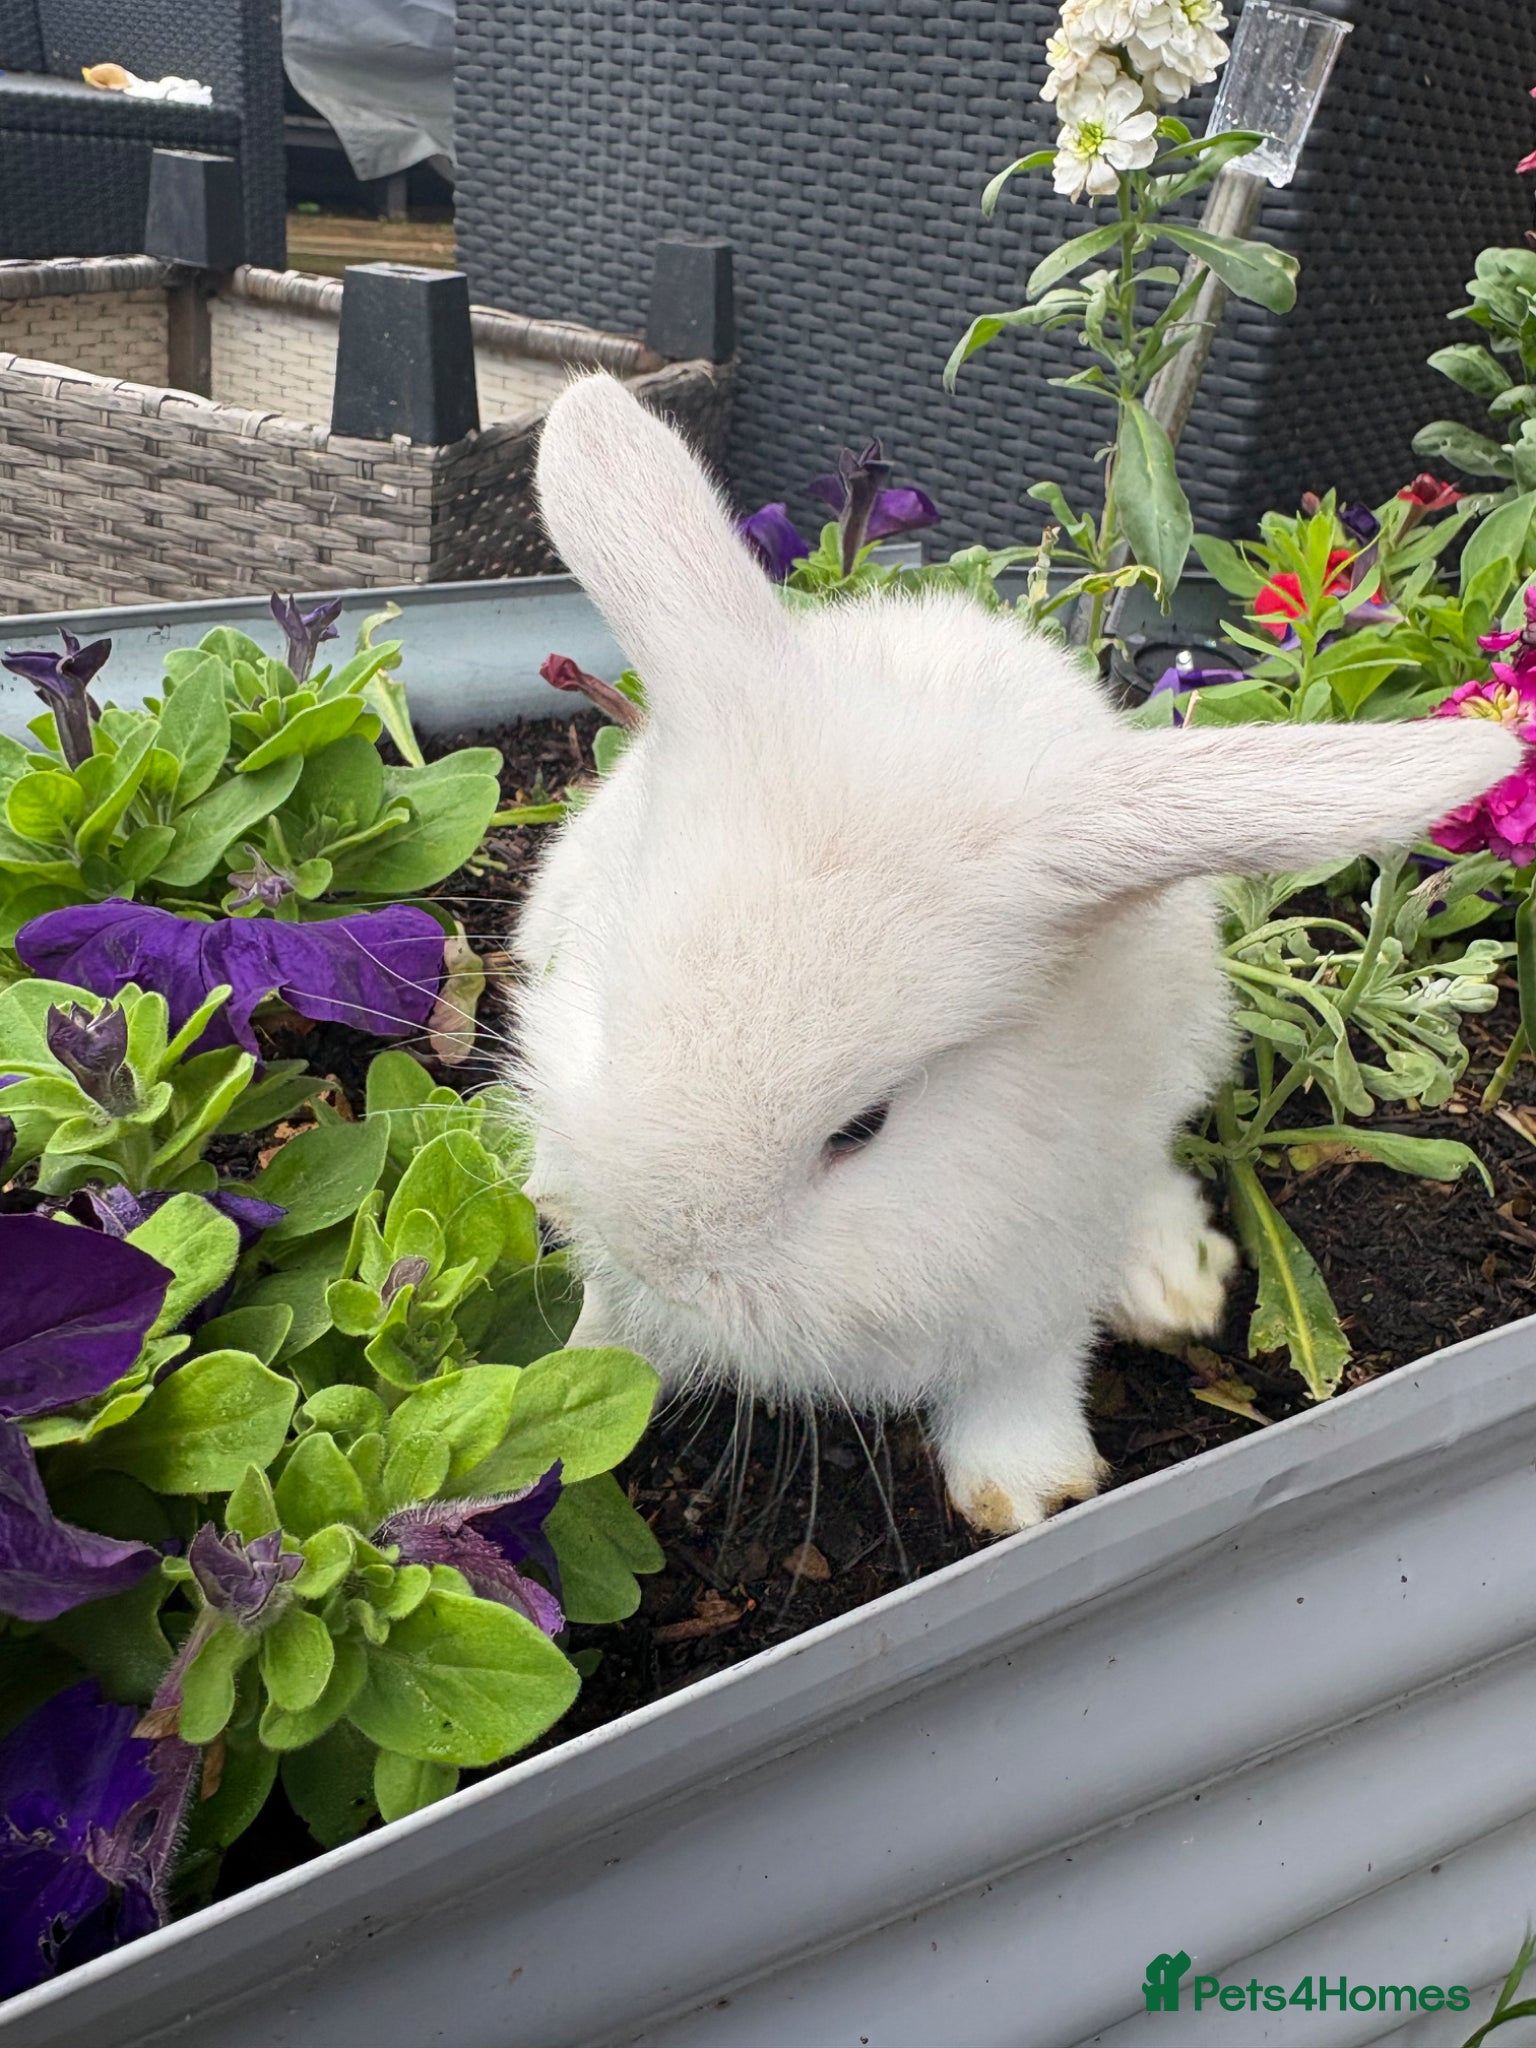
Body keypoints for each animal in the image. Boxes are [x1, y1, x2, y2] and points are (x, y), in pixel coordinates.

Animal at [512, 373, 1520, 1535]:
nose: (665, 1257)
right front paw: (562, 1391)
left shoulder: (1038, 1263)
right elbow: (605, 1343)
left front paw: (1027, 1491)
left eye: (863, 1126)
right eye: (607, 1008)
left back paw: (1172, 1278)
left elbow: (1027, 1370)